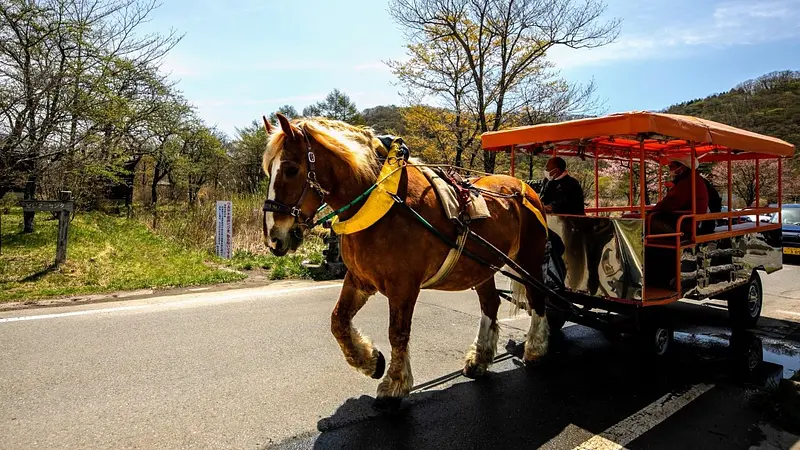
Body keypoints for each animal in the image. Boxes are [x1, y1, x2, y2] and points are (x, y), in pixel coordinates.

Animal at [262, 114, 552, 410]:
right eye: (268, 171)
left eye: (291, 169)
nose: (274, 236)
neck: (379, 200)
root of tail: (524, 187)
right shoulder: (359, 279)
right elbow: (338, 322)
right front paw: (370, 362)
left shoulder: (404, 285)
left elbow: (397, 332)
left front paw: (394, 384)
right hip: (483, 266)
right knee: (490, 304)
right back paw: (480, 359)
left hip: (529, 257)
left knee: (538, 298)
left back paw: (535, 348)